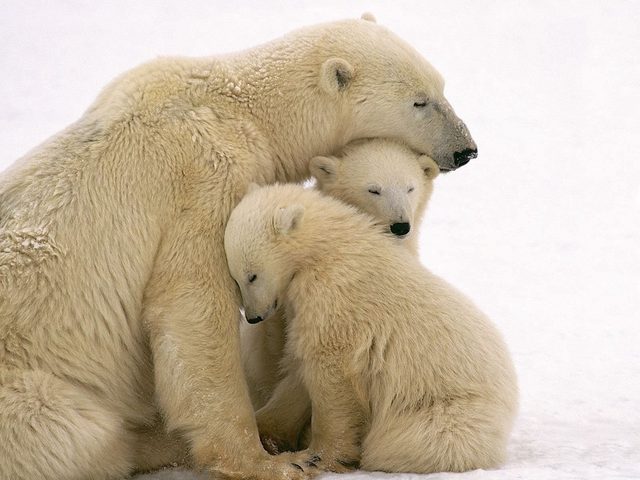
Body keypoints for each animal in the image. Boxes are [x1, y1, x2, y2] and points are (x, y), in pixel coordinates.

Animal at [224, 182, 518, 474]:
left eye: (252, 276)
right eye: (235, 278)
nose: (253, 317)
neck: (327, 248)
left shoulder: (336, 297)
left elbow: (331, 375)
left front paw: (320, 456)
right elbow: (300, 368)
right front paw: (266, 431)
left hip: (449, 410)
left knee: (407, 441)